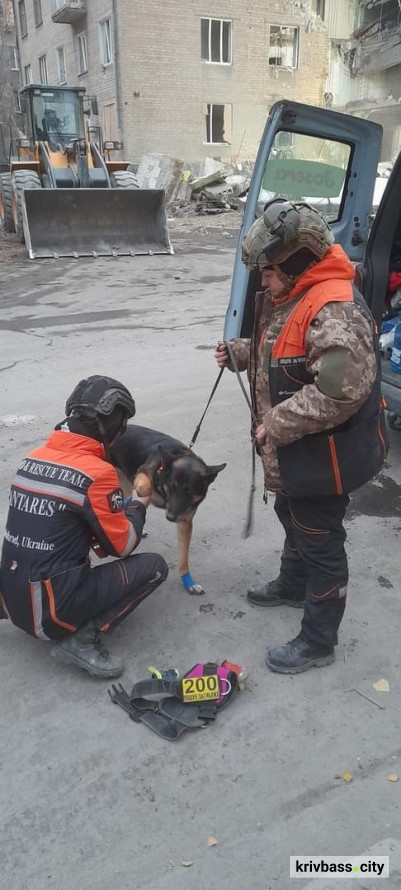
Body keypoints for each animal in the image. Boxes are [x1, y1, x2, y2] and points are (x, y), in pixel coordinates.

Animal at [110, 426, 225, 592]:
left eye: (189, 491)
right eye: (172, 487)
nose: (170, 517)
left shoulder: (184, 522)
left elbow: (183, 557)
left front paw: (188, 581)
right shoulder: (142, 473)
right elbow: (144, 487)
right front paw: (144, 492)